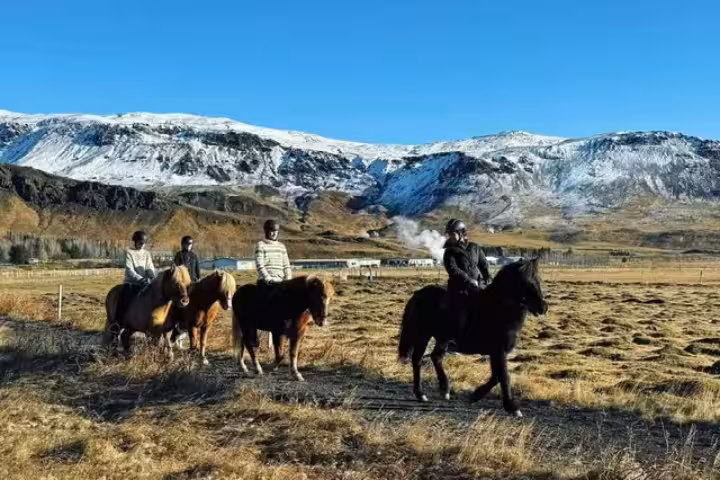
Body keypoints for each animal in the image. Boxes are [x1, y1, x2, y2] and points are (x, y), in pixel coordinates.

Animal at [397, 257, 548, 417]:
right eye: (529, 282)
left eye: (538, 280)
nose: (543, 307)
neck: (499, 309)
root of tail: (418, 294)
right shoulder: (499, 351)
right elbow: (504, 377)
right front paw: (512, 407)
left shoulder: (496, 353)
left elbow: (496, 377)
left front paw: (475, 396)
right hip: (423, 336)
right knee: (417, 360)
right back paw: (421, 394)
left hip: (441, 338)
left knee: (435, 357)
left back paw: (444, 389)